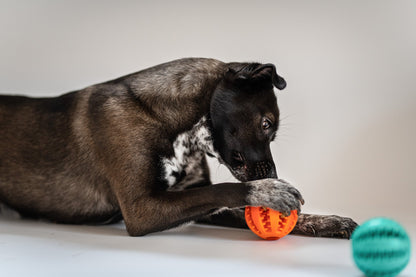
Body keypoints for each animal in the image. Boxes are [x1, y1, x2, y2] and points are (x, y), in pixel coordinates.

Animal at [0, 57, 358, 237]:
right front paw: (266, 190)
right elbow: (223, 190)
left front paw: (328, 222)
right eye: (267, 124)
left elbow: (222, 202)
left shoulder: (190, 195)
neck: (169, 119)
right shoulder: (142, 209)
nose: (271, 173)